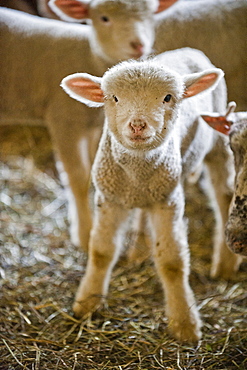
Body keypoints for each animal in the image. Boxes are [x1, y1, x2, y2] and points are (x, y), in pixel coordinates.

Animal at [0, 0, 169, 251]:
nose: (138, 45)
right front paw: (84, 233)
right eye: (104, 18)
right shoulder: (65, 121)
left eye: (151, 15)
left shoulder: (93, 127)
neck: (91, 56)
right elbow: (78, 177)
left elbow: (92, 169)